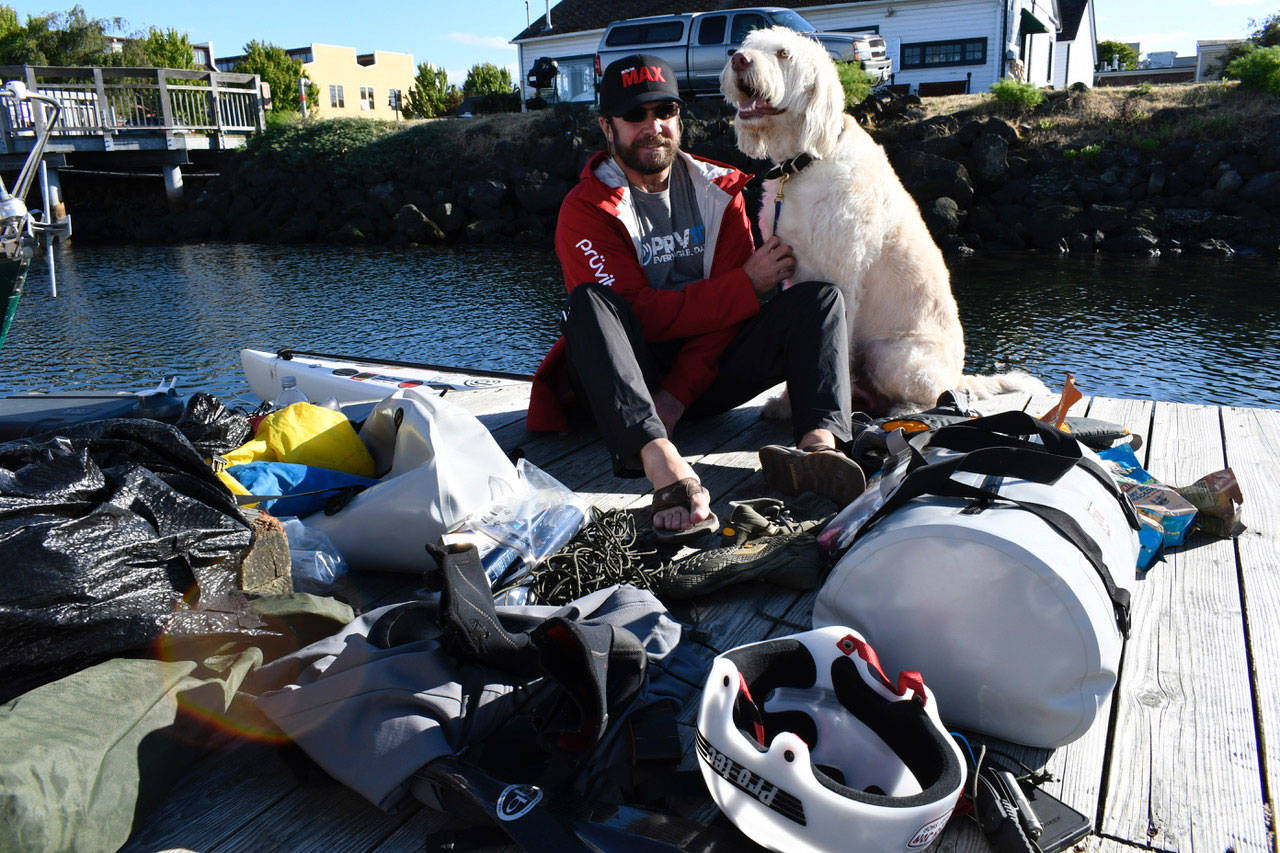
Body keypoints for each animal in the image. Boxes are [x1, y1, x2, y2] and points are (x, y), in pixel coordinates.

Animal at [716, 25, 1044, 412]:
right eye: (747, 45)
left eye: (784, 54)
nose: (739, 59)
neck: (806, 162)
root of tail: (958, 374)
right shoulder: (790, 270)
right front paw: (784, 404)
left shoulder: (842, 278)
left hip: (890, 353)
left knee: (935, 395)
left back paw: (905, 408)